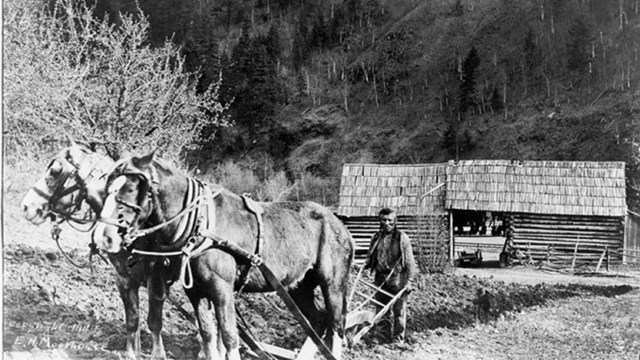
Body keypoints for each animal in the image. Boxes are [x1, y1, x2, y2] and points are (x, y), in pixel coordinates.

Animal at [21, 143, 175, 360]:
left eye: (55, 171)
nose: (26, 207)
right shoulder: (124, 277)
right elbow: (133, 321)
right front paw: (131, 352)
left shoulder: (156, 280)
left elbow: (154, 322)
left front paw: (158, 354)